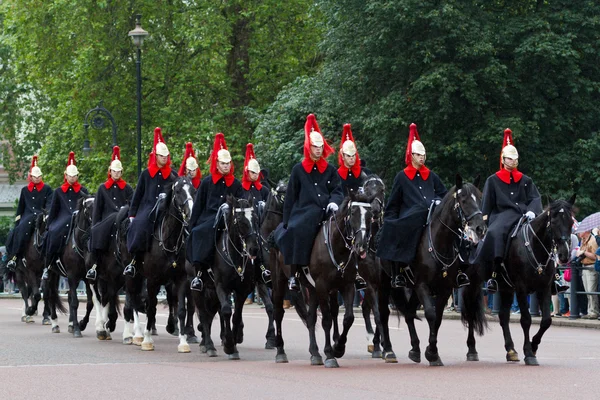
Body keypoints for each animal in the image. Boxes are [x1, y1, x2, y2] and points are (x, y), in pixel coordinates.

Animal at [380, 175, 488, 366]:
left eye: (480, 198)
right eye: (463, 200)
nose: (480, 229)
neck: (439, 242)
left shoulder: (445, 288)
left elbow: (437, 319)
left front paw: (432, 352)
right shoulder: (422, 285)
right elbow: (430, 314)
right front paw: (431, 352)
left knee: (410, 312)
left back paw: (416, 349)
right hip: (384, 283)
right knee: (384, 314)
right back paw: (389, 350)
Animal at [464, 194, 576, 366]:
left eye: (571, 222)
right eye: (554, 222)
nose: (564, 255)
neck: (534, 246)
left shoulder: (544, 288)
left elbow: (546, 320)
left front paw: (534, 346)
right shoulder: (522, 288)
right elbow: (526, 319)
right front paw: (529, 352)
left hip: (506, 288)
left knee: (503, 316)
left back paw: (511, 350)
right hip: (473, 284)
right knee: (471, 313)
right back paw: (472, 349)